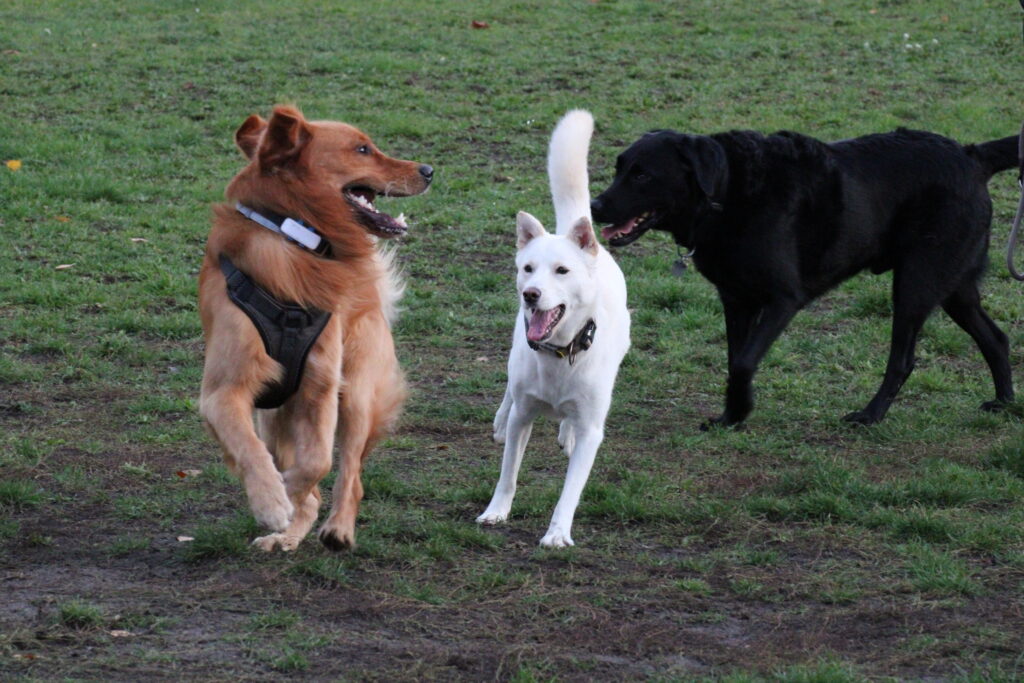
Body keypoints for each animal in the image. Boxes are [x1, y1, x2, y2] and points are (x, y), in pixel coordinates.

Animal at [197, 108, 430, 557]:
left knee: (350, 476)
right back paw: (286, 533)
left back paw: (337, 529)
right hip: (274, 417)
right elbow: (249, 448)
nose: (429, 170)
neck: (294, 242)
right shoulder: (222, 392)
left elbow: (319, 462)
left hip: (356, 393)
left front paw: (286, 493)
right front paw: (272, 502)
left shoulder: (320, 385)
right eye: (362, 149)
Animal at [479, 112, 630, 548]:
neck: (558, 354)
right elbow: (508, 473)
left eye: (561, 271)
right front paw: (496, 512)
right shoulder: (524, 416)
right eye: (528, 268)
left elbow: (571, 489)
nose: (530, 294)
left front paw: (558, 533)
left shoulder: (594, 430)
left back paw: (567, 432)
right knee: (508, 393)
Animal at [593, 127, 1015, 423]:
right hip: (955, 287)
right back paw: (1006, 403)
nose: (595, 206)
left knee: (904, 359)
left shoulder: (783, 299)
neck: (726, 193)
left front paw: (742, 409)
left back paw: (871, 415)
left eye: (642, 175)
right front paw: (731, 416)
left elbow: (745, 361)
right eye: (619, 169)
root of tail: (971, 156)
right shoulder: (736, 300)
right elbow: (735, 358)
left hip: (915, 283)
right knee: (996, 338)